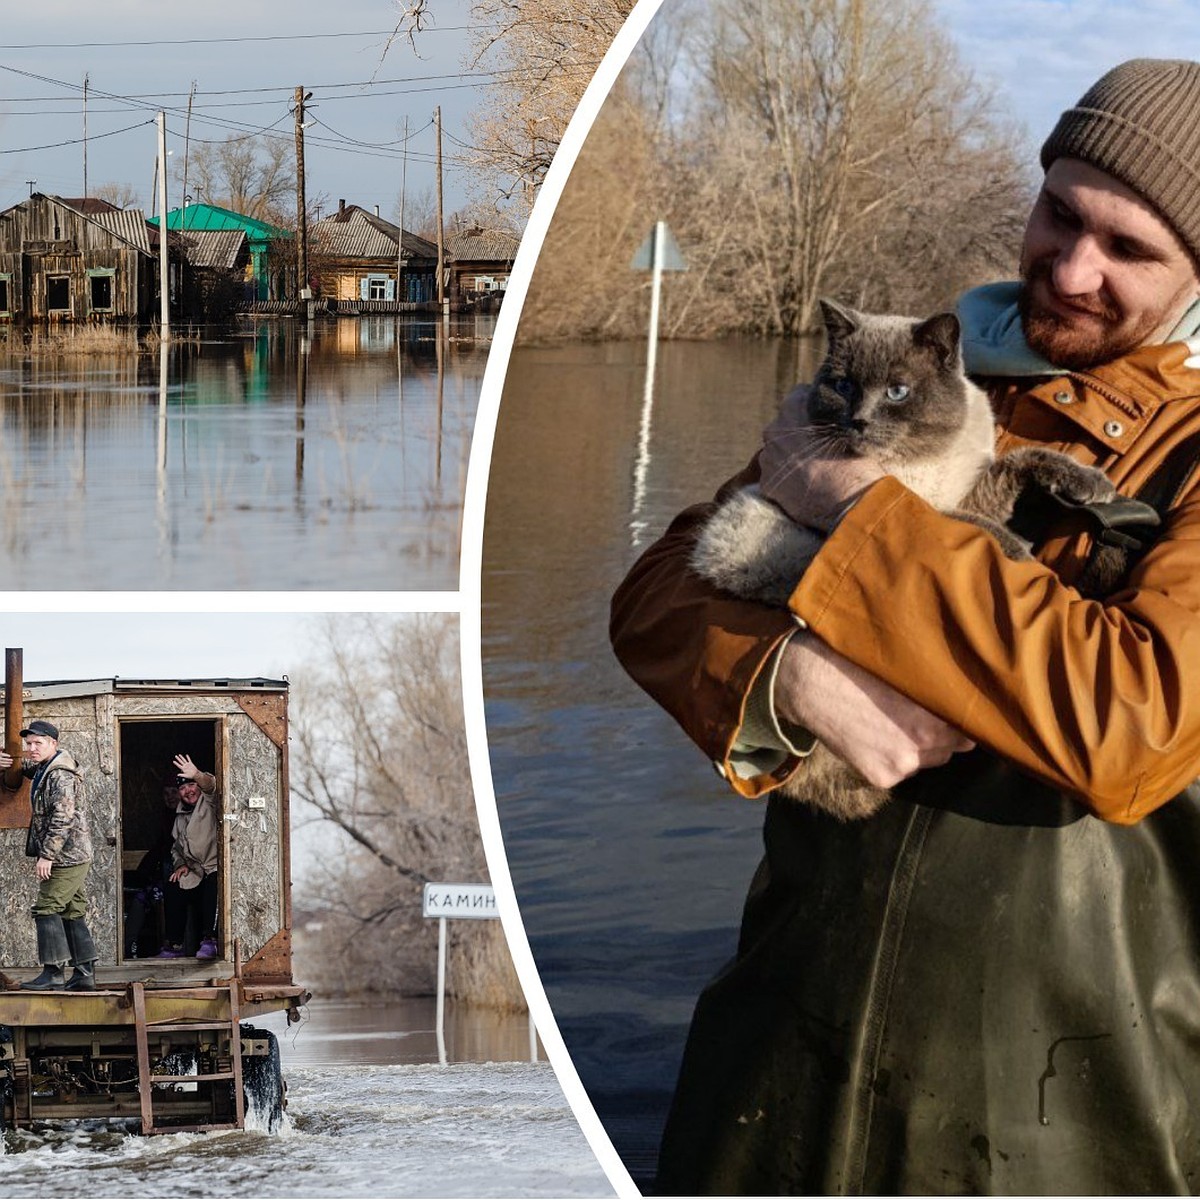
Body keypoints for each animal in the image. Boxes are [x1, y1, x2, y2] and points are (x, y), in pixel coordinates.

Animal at [691, 300, 1118, 825]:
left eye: (897, 392)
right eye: (844, 386)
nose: (858, 421)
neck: (923, 461)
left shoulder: (976, 490)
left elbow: (1019, 460)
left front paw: (1092, 483)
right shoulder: (912, 503)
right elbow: (948, 520)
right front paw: (1019, 548)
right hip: (755, 538)